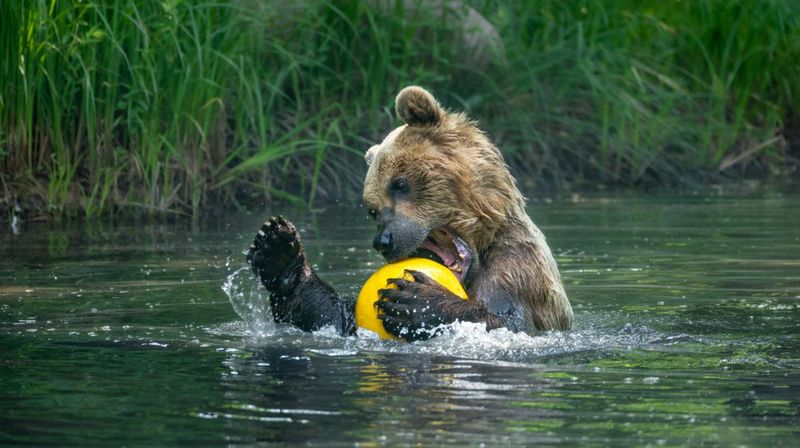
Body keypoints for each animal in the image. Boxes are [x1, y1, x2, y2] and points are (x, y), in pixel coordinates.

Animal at [247, 86, 572, 340]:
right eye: (372, 209)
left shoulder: (519, 272)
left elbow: (512, 323)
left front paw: (415, 300)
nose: (384, 240)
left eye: (400, 183)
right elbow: (334, 317)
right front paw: (277, 248)